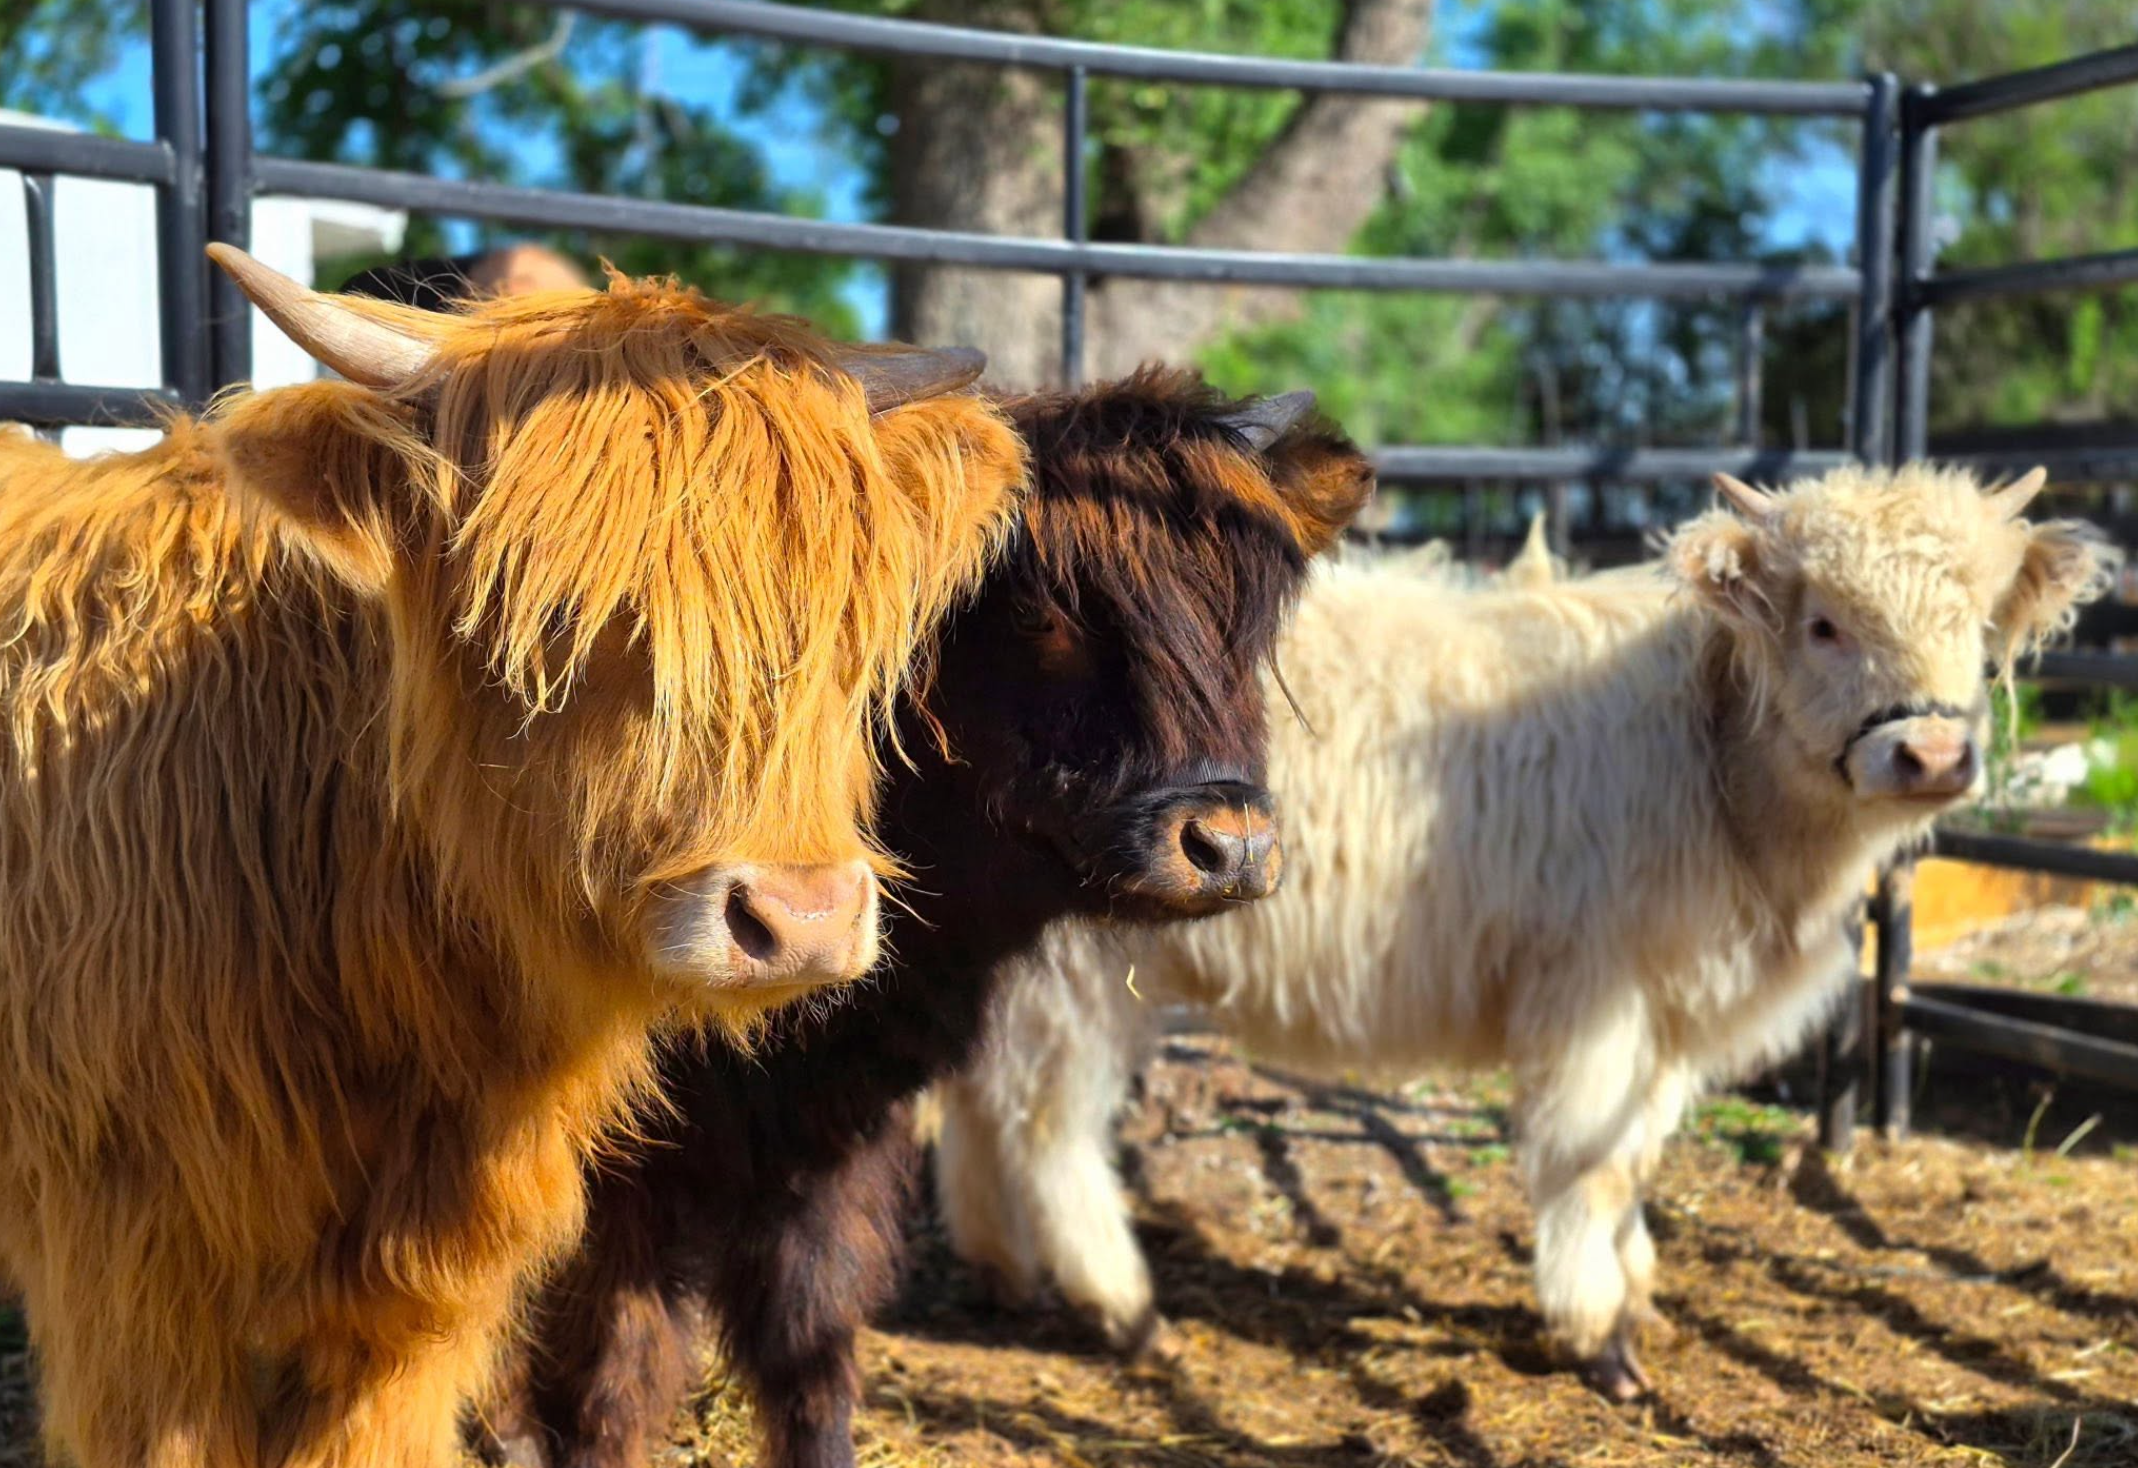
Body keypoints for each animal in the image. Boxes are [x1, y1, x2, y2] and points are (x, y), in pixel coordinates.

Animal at [477, 370, 1376, 1468]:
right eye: (1038, 610)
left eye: (1247, 618)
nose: (1228, 844)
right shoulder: (610, 1176)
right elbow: (607, 1384)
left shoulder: (834, 1138)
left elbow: (811, 1349)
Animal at [932, 464, 2117, 1400]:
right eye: (1823, 621)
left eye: (1977, 625)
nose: (1928, 753)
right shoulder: (1594, 995)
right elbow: (1588, 1162)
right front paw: (1597, 1332)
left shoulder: (1665, 1019)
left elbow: (1634, 1159)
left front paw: (1636, 1290)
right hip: (1080, 973)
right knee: (1046, 1126)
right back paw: (1120, 1306)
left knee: (979, 1100)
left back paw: (1005, 1273)